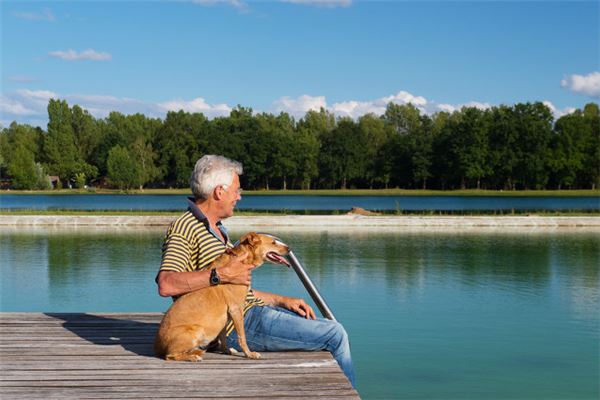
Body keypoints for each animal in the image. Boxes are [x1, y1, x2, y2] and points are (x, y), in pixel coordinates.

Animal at [154, 231, 288, 362]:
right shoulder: (236, 309)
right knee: (170, 356)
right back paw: (193, 357)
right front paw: (249, 354)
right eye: (273, 242)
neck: (242, 259)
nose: (289, 248)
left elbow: (223, 337)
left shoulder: (225, 316)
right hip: (197, 331)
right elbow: (242, 337)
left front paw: (227, 351)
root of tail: (158, 347)